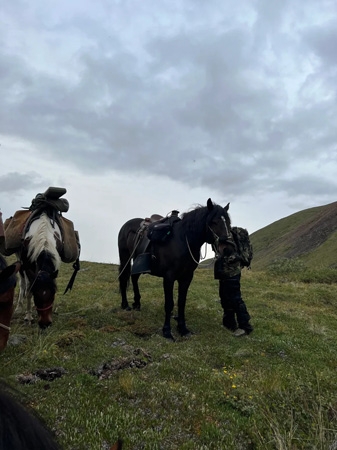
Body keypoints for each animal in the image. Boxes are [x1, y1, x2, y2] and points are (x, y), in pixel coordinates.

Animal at [118, 199, 231, 340]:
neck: (183, 240)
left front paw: (183, 328)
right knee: (124, 278)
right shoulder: (169, 277)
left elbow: (181, 302)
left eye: (228, 222)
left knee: (134, 278)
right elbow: (169, 303)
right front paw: (167, 331)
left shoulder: (187, 277)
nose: (226, 248)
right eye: (214, 222)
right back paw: (125, 305)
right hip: (125, 257)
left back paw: (137, 303)